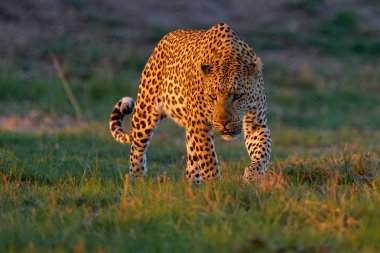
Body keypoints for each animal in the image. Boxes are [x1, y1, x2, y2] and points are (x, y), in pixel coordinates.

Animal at [108, 22, 272, 183]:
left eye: (238, 96)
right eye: (212, 97)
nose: (224, 122)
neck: (228, 56)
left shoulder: (256, 124)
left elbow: (262, 152)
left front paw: (252, 174)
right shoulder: (199, 124)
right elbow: (208, 160)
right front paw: (216, 184)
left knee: (192, 159)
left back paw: (193, 184)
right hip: (145, 113)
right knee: (137, 148)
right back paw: (137, 179)